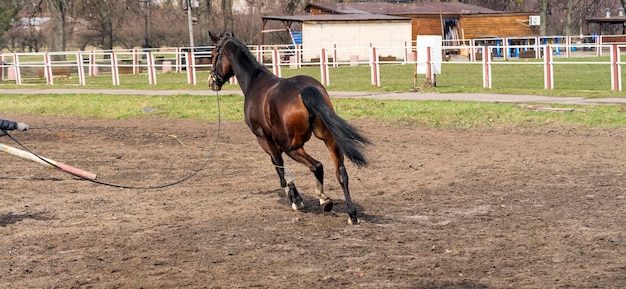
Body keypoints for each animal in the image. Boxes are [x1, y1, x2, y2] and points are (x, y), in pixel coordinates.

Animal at [207, 32, 368, 225]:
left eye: (214, 54)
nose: (211, 81)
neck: (254, 81)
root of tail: (304, 90)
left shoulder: (264, 138)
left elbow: (279, 166)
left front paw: (296, 199)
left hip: (292, 147)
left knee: (317, 166)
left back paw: (324, 199)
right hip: (329, 139)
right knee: (341, 172)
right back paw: (352, 214)